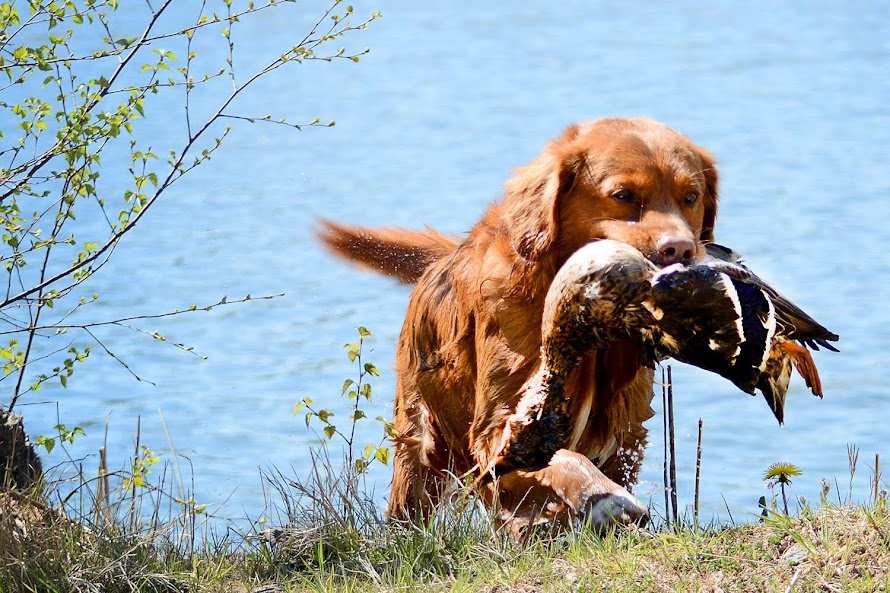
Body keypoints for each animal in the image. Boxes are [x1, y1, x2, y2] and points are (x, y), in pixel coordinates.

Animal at [316, 118, 720, 536]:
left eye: (690, 197)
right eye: (623, 195)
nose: (680, 250)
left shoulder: (627, 430)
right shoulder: (496, 426)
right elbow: (558, 458)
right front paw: (603, 498)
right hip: (419, 446)